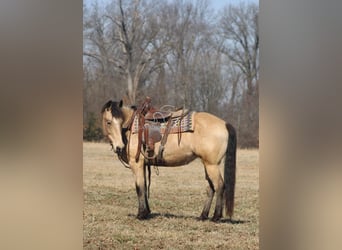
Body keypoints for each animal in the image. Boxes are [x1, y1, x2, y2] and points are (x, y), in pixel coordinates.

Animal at [100, 96, 236, 222]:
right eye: (109, 122)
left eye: (119, 121)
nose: (119, 147)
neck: (131, 127)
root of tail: (224, 124)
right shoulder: (143, 165)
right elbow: (144, 187)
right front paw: (147, 212)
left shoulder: (136, 163)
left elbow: (139, 187)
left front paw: (141, 214)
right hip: (207, 164)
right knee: (211, 188)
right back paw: (203, 216)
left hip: (211, 165)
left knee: (219, 186)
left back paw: (216, 216)